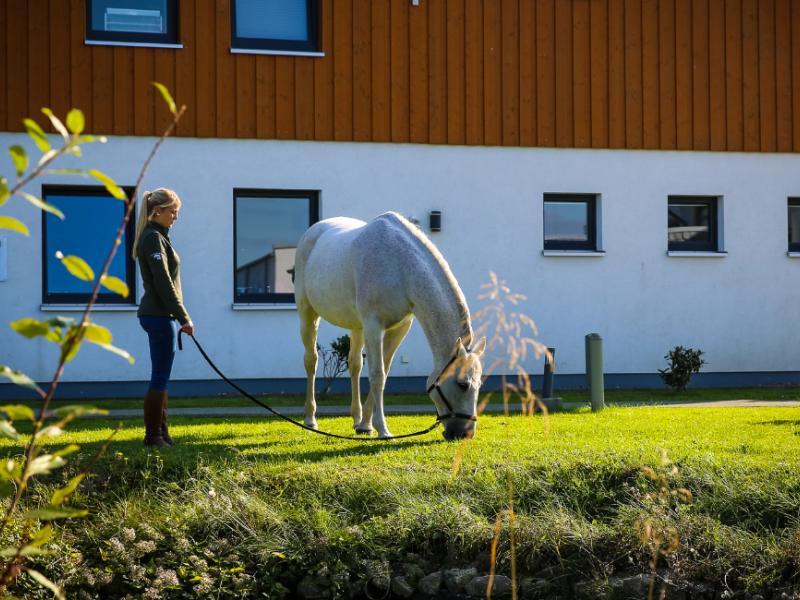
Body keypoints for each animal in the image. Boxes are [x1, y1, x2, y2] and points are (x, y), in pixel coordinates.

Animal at [292, 212, 484, 440]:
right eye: (463, 385)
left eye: (479, 384)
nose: (465, 433)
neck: (400, 267)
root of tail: (312, 232)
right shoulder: (374, 326)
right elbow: (377, 375)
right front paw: (383, 429)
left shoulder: (399, 328)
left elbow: (384, 370)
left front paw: (366, 425)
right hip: (308, 314)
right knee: (311, 361)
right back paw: (310, 419)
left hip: (357, 327)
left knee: (354, 365)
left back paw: (356, 419)